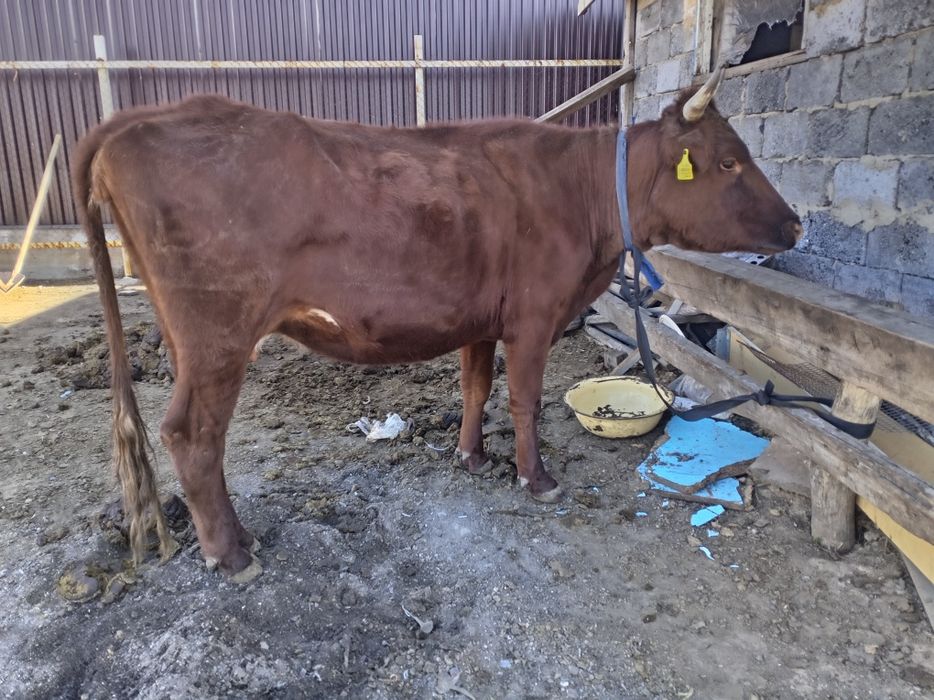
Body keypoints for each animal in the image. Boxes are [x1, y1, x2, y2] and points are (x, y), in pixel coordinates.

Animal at [72, 68, 801, 582]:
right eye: (729, 161)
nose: (796, 223)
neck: (581, 194)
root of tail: (141, 119)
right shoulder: (534, 316)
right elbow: (526, 400)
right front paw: (536, 479)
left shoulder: (482, 318)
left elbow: (475, 388)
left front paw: (471, 456)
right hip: (217, 334)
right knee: (191, 433)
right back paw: (231, 554)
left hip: (188, 336)